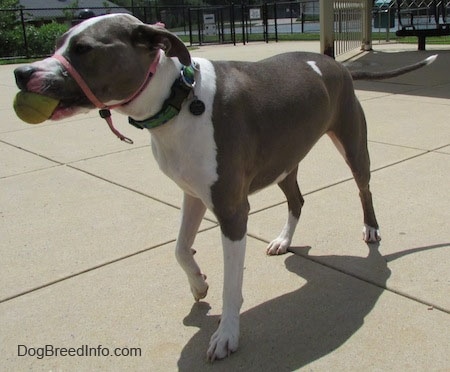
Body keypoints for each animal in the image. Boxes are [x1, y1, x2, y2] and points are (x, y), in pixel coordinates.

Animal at [14, 13, 436, 360]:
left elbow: (232, 284)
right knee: (297, 200)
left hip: (351, 141)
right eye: (57, 43)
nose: (20, 72)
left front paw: (227, 334)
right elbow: (179, 248)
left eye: (83, 49)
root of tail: (336, 65)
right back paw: (283, 239)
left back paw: (371, 229)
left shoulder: (233, 211)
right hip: (283, 162)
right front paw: (199, 284)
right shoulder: (194, 194)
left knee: (364, 188)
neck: (179, 99)